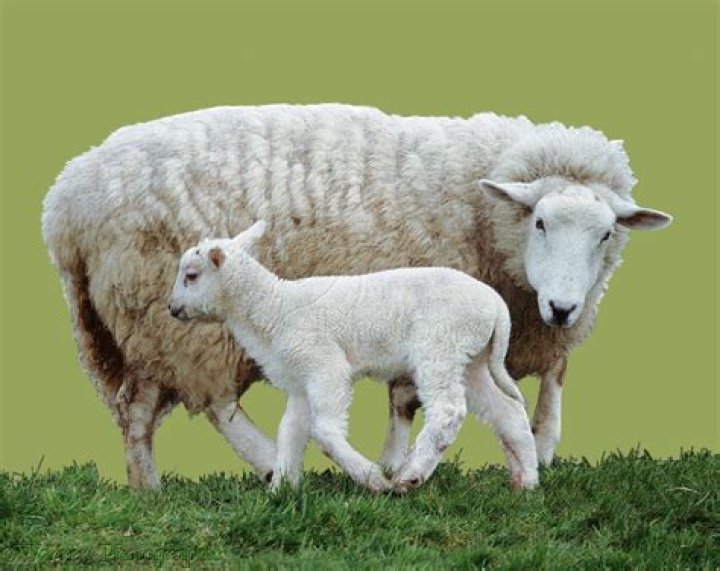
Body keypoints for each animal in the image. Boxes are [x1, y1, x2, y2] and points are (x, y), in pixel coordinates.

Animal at [167, 220, 539, 492]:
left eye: (191, 276)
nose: (171, 309)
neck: (275, 308)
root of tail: (497, 307)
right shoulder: (301, 380)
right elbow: (290, 431)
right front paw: (281, 489)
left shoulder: (324, 365)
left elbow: (324, 432)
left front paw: (372, 478)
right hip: (471, 358)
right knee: (506, 410)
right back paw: (527, 480)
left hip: (440, 345)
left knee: (448, 410)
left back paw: (409, 476)